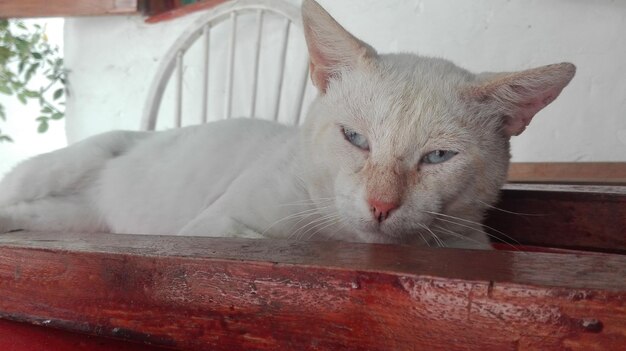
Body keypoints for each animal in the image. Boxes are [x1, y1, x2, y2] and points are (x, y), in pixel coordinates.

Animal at [0, 0, 572, 250]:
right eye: (355, 139)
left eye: (437, 157)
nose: (381, 206)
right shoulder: (212, 226)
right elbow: (270, 240)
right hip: (65, 166)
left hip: (73, 218)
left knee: (33, 216)